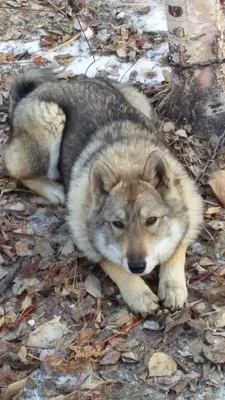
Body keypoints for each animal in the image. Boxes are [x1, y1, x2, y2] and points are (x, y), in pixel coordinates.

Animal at [4, 69, 203, 318]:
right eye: (117, 224)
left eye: (151, 220)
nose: (137, 266)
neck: (127, 160)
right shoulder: (84, 234)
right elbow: (113, 264)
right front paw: (139, 294)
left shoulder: (191, 206)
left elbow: (178, 246)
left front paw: (173, 287)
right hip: (50, 121)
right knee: (15, 169)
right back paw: (54, 190)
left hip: (138, 100)